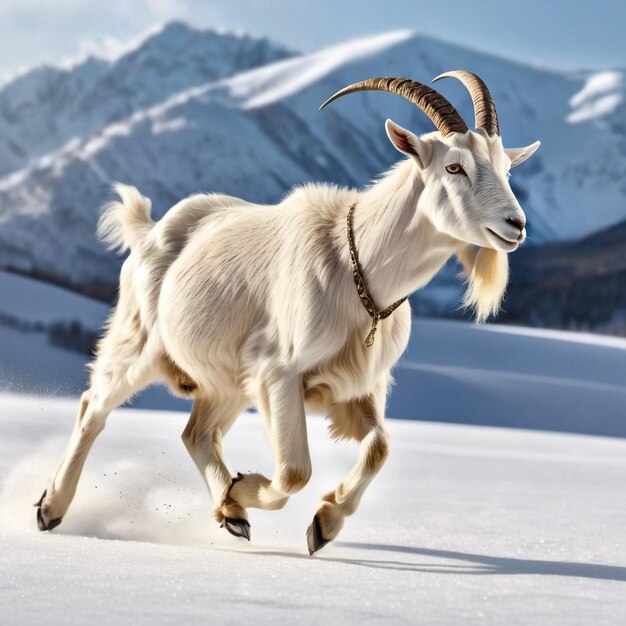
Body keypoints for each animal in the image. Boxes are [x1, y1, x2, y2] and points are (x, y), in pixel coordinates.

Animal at [37, 70, 536, 552]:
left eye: (506, 167)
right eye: (454, 166)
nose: (516, 225)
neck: (355, 263)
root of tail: (149, 231)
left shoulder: (358, 386)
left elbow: (379, 447)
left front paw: (322, 523)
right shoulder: (278, 373)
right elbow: (295, 471)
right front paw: (249, 493)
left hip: (225, 383)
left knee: (196, 433)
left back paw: (232, 515)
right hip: (139, 343)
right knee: (94, 407)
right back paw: (51, 509)